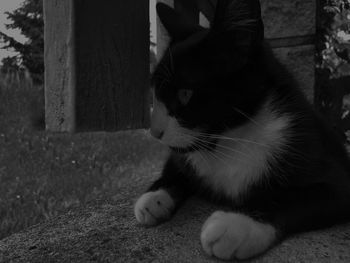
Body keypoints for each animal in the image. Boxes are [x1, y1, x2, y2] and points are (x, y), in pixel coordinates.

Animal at [133, 0, 350, 260]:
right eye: (156, 93)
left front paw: (236, 224)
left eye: (185, 94)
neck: (231, 140)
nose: (154, 132)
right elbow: (176, 165)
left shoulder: (320, 158)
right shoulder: (185, 154)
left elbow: (291, 196)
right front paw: (154, 198)